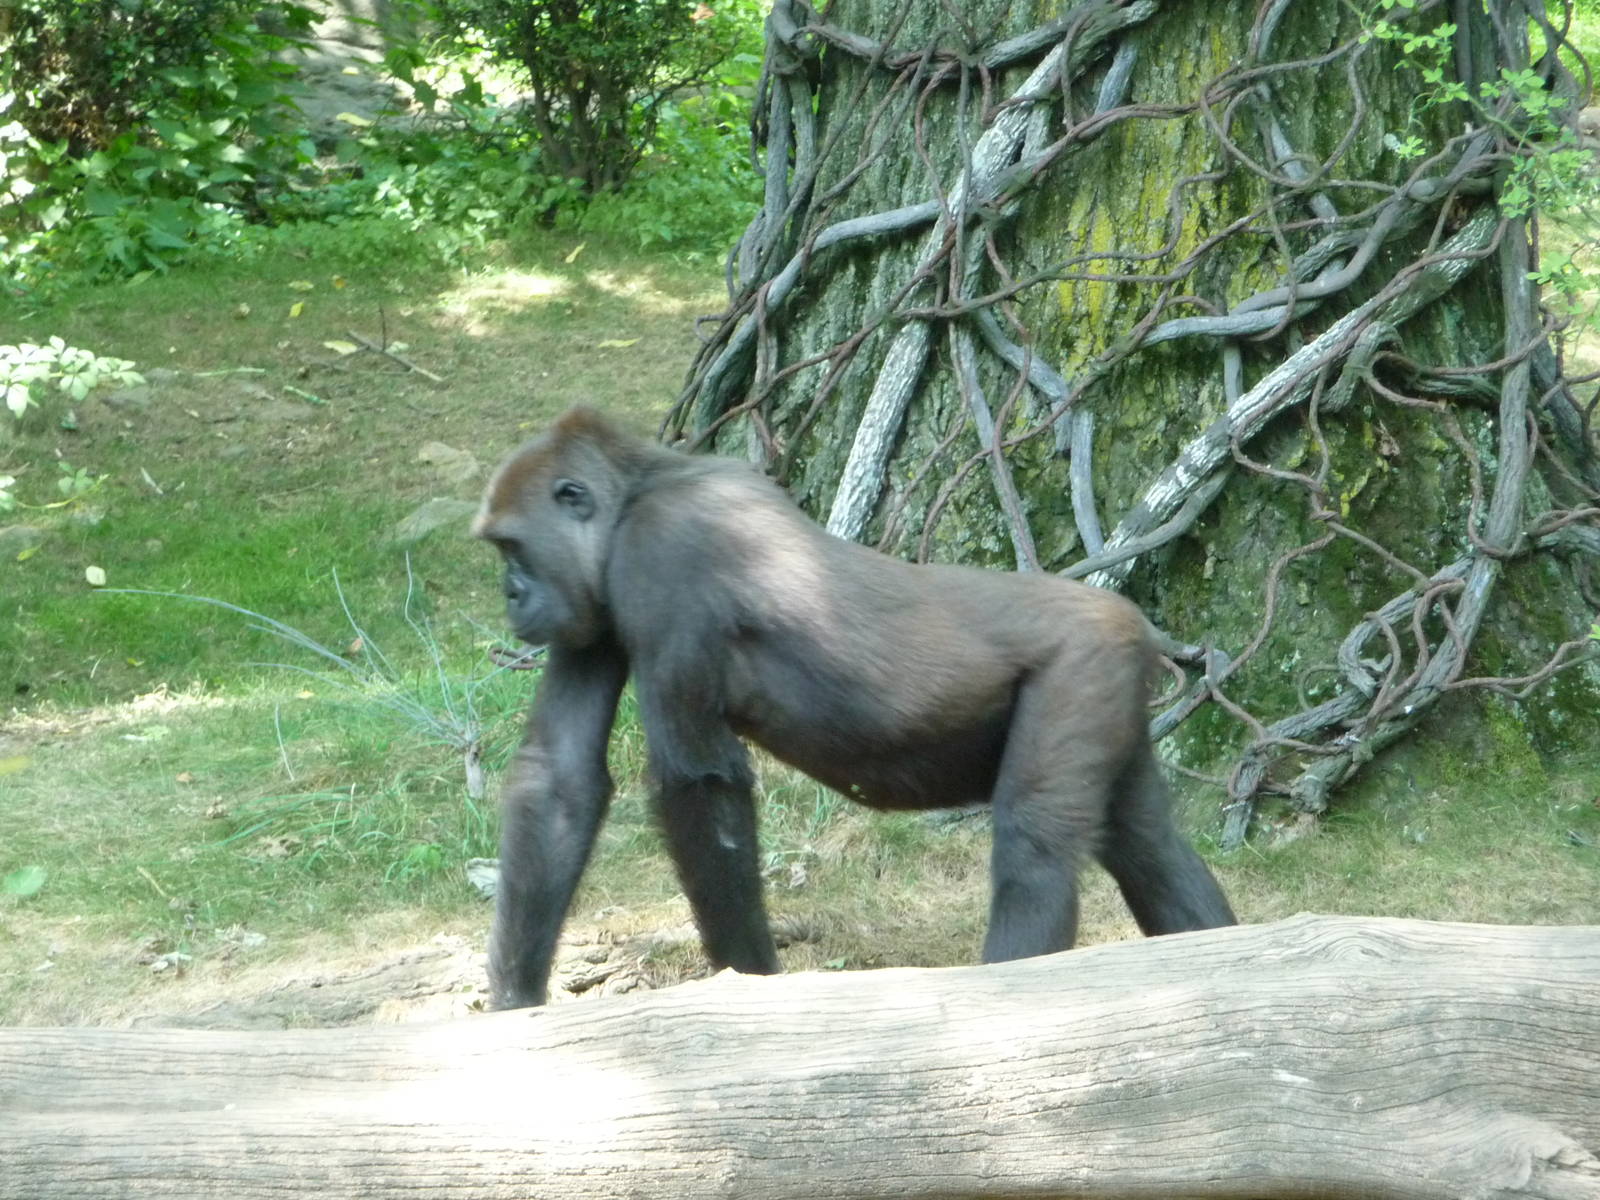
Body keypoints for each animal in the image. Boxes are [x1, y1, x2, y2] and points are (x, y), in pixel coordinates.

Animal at [474, 407, 1235, 1008]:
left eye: (514, 548)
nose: (510, 594)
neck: (642, 486)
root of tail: (1132, 622)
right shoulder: (589, 604)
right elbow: (561, 778)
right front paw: (515, 1008)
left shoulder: (665, 551)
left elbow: (700, 787)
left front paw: (748, 985)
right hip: (1112, 682)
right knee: (1145, 844)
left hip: (1082, 663)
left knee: (1035, 853)